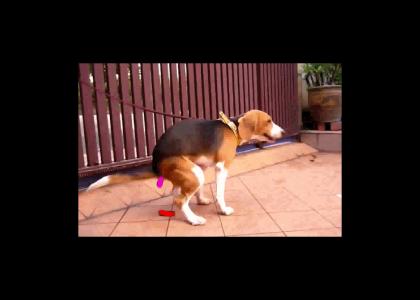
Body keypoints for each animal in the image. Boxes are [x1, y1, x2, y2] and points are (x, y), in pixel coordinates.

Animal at [86, 110, 286, 225]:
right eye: (269, 120)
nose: (284, 132)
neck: (233, 127)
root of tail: (156, 163)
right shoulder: (221, 167)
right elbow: (220, 193)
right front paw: (223, 210)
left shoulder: (202, 165)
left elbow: (200, 191)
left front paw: (201, 199)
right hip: (194, 173)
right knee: (179, 200)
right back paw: (194, 219)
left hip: (193, 171)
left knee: (177, 194)